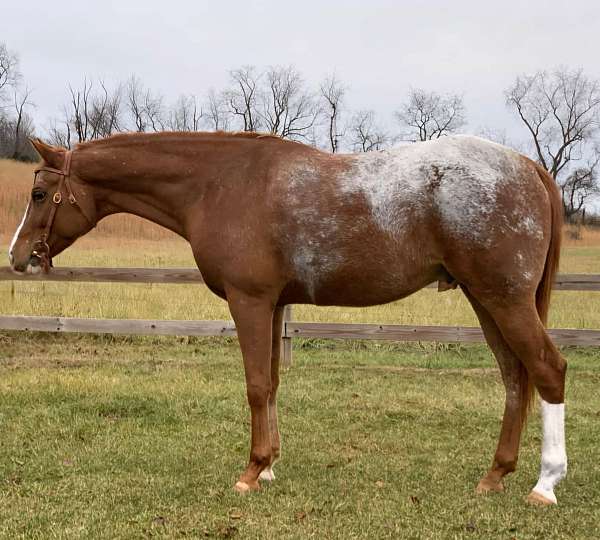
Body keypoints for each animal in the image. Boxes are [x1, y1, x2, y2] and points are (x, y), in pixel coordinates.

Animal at [8, 132, 568, 506]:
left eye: (38, 194)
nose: (18, 258)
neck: (219, 184)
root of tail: (527, 165)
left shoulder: (250, 301)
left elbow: (257, 385)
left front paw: (251, 471)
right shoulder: (274, 304)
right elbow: (273, 382)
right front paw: (270, 466)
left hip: (504, 299)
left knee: (547, 370)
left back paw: (544, 484)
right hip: (486, 300)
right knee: (514, 378)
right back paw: (495, 476)